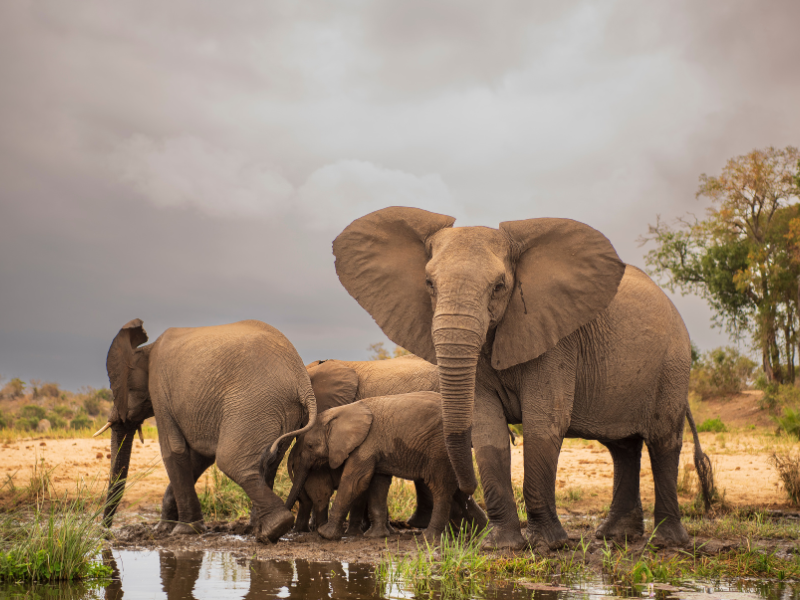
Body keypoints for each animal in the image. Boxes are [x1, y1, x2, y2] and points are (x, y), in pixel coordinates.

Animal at [97, 318, 316, 544]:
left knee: (231, 462)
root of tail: (303, 384)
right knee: (268, 463)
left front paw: (184, 531)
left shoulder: (160, 390)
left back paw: (274, 528)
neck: (145, 349)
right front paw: (164, 529)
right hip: (282, 411)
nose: (104, 534)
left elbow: (173, 450)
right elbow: (198, 457)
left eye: (116, 389)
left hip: (253, 404)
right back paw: (259, 532)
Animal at [284, 392, 478, 540]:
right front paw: (376, 536)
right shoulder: (374, 449)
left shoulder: (366, 444)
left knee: (440, 488)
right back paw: (479, 534)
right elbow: (378, 484)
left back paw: (429, 538)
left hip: (439, 450)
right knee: (458, 490)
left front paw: (326, 535)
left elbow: (355, 482)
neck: (343, 411)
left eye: (310, 446)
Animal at [332, 206, 712, 548]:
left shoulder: (557, 340)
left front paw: (547, 545)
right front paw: (500, 545)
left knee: (662, 442)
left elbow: (544, 424)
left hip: (673, 363)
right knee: (623, 448)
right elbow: (488, 428)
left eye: (500, 286)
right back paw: (614, 536)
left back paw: (666, 542)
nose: (466, 492)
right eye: (429, 284)